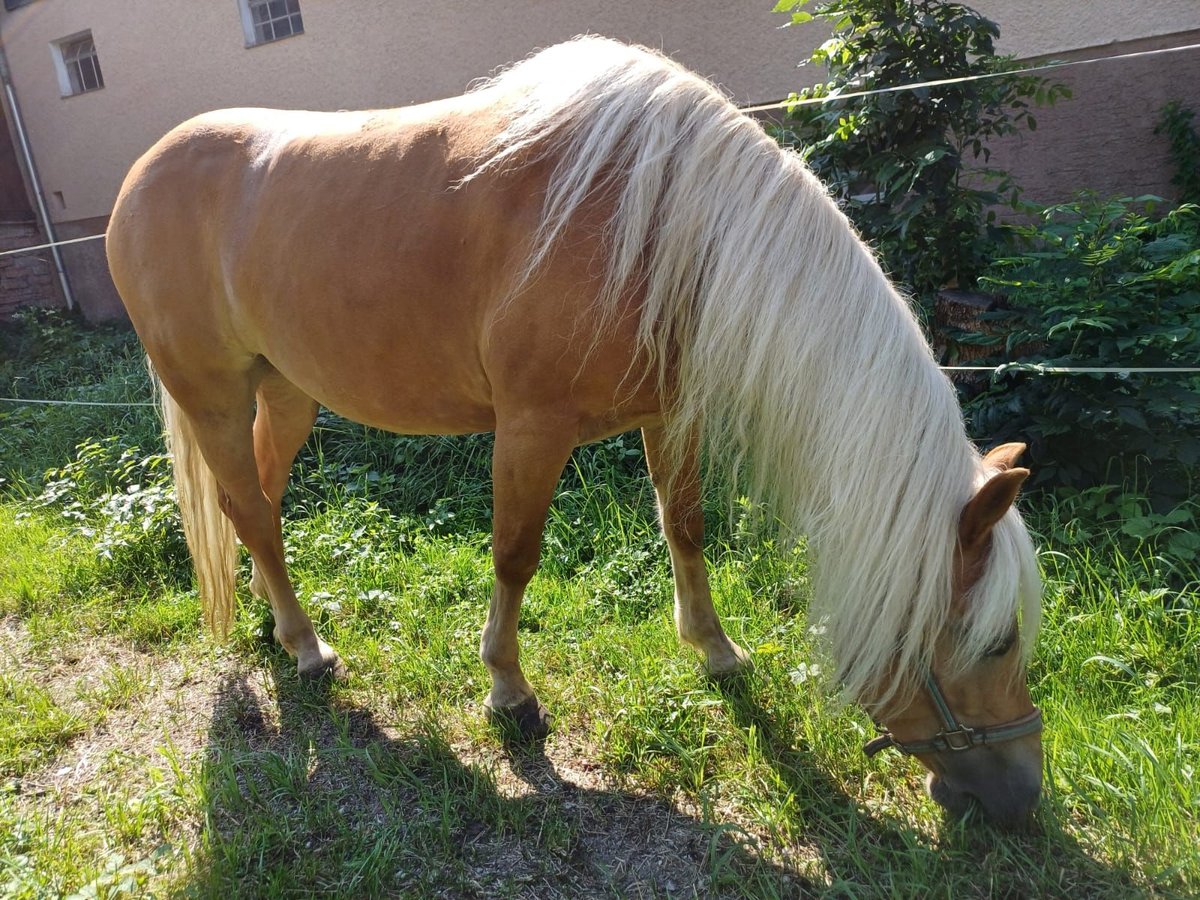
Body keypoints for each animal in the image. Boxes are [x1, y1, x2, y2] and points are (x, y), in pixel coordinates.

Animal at [108, 35, 1046, 830]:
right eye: (997, 642)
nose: (1021, 799)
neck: (663, 226)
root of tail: (139, 177)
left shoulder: (669, 416)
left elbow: (685, 527)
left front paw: (716, 651)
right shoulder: (532, 429)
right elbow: (515, 555)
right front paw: (509, 692)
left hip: (286, 392)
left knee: (255, 503)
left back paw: (277, 624)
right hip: (213, 396)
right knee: (255, 515)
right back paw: (307, 650)